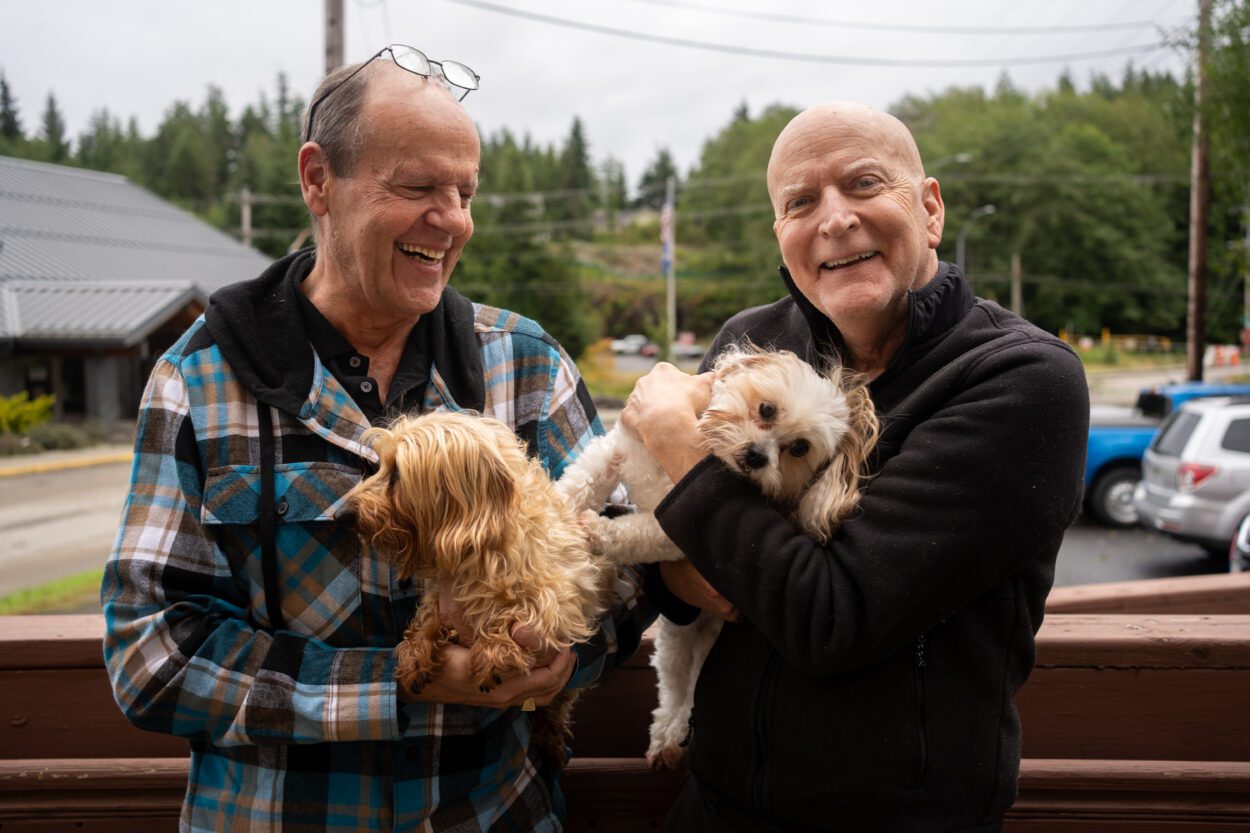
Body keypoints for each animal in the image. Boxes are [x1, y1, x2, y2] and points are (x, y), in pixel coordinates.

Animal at [345, 405, 607, 760]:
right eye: (381, 467)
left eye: (397, 472)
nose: (344, 514)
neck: (480, 543)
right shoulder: (441, 593)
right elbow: (429, 615)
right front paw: (416, 650)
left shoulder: (561, 596)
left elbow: (523, 608)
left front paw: (495, 647)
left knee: (558, 706)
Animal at [557, 342, 880, 765]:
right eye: (766, 409)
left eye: (799, 448)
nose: (757, 456)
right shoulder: (618, 448)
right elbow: (582, 481)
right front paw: (551, 511)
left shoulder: (670, 527)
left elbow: (632, 533)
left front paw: (596, 532)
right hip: (676, 639)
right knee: (674, 686)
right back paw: (665, 731)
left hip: (710, 643)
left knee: (692, 694)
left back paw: (675, 733)